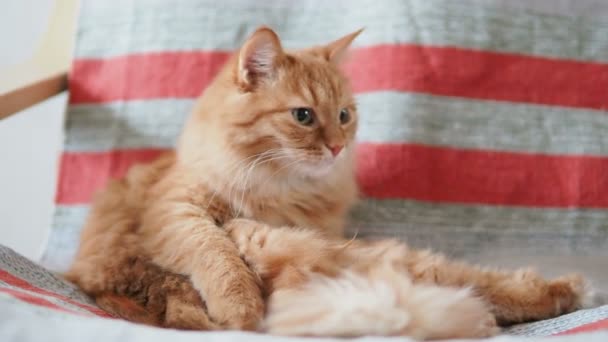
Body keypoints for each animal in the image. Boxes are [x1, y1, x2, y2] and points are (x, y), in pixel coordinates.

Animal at [64, 27, 588, 340]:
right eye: (303, 116)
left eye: (344, 116)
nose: (337, 147)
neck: (282, 190)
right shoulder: (175, 209)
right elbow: (215, 253)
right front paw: (240, 309)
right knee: (475, 284)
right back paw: (564, 290)